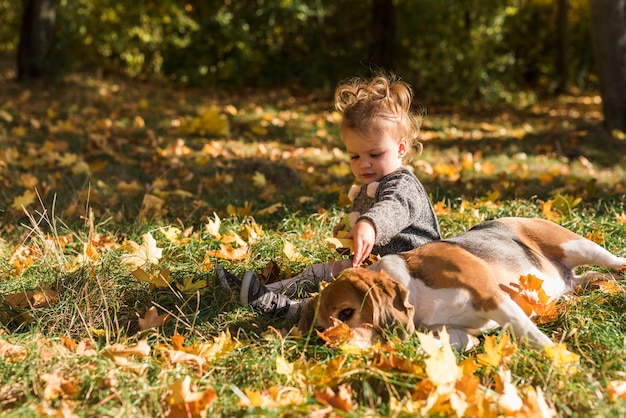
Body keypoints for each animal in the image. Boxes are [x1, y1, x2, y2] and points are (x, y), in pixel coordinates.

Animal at [298, 217, 624, 352]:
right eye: (319, 329)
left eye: (346, 313)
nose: (328, 346)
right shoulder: (449, 329)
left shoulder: (493, 296)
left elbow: (528, 332)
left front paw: (558, 359)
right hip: (573, 281)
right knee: (588, 279)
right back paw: (600, 286)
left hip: (579, 246)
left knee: (616, 261)